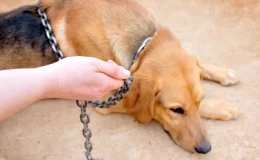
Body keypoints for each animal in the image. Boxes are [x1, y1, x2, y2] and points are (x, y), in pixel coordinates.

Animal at [0, 0, 241, 154]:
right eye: (176, 110)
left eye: (198, 100)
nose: (205, 149)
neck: (144, 45)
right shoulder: (105, 96)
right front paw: (221, 107)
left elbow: (197, 61)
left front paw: (220, 73)